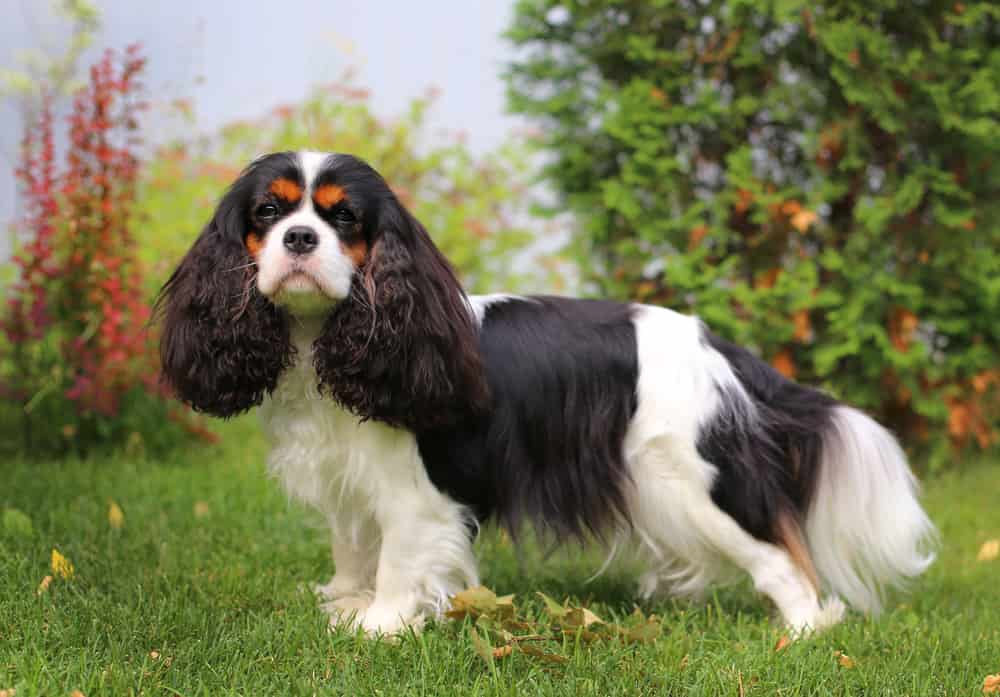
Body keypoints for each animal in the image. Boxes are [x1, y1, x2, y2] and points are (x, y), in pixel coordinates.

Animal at [158, 151, 936, 636]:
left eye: (343, 219)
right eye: (267, 212)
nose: (298, 239)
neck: (331, 336)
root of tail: (720, 347)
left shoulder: (416, 493)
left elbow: (400, 558)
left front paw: (380, 626)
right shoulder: (350, 482)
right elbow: (355, 550)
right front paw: (347, 606)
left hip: (693, 482)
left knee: (783, 556)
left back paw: (802, 632)